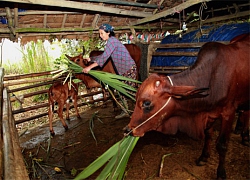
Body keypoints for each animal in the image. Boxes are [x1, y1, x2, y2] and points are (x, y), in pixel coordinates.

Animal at [126, 33, 249, 179]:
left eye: (146, 103)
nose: (128, 130)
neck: (212, 78)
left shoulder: (228, 113)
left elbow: (222, 144)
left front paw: (221, 172)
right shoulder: (209, 114)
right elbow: (208, 135)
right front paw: (203, 157)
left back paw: (245, 135)